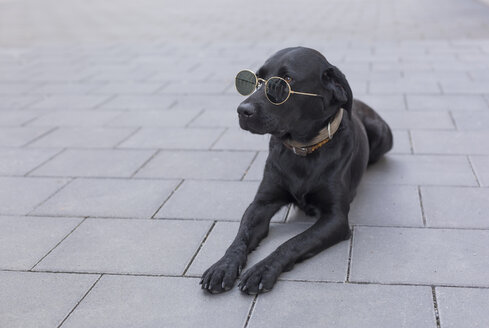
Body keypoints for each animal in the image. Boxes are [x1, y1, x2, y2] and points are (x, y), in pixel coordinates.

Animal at [199, 47, 392, 296]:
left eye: (287, 80)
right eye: (256, 79)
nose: (242, 110)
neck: (302, 151)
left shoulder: (335, 218)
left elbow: (294, 242)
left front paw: (262, 269)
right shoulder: (261, 204)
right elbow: (240, 237)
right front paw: (223, 266)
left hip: (383, 136)